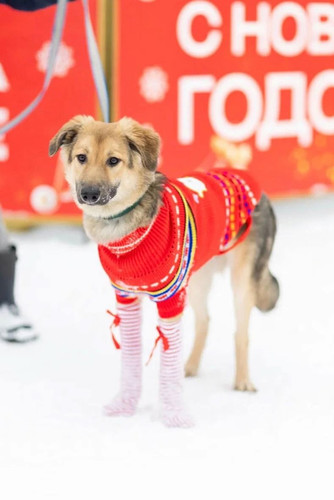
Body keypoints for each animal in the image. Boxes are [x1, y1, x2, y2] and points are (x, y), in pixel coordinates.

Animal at [49, 115, 280, 428]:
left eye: (113, 160)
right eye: (81, 158)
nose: (89, 194)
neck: (124, 227)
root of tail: (257, 187)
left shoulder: (170, 298)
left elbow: (167, 363)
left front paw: (173, 415)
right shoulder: (126, 297)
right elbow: (131, 357)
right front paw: (125, 405)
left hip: (242, 281)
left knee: (240, 334)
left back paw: (242, 381)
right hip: (197, 278)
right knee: (205, 321)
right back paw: (190, 367)